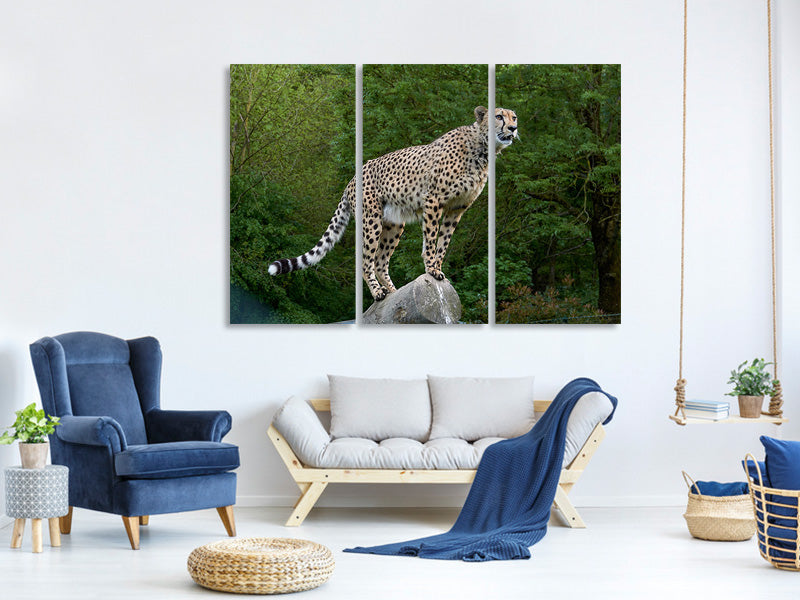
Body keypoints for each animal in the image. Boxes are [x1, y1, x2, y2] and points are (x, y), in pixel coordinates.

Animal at [268, 106, 518, 301]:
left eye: (514, 117)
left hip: (394, 223)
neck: (483, 148)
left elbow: (443, 242)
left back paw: (394, 292)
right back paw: (378, 293)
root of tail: (352, 179)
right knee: (366, 260)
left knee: (380, 261)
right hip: (371, 219)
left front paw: (437, 268)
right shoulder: (434, 200)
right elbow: (431, 240)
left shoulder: (456, 209)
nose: (513, 129)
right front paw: (431, 269)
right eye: (498, 116)